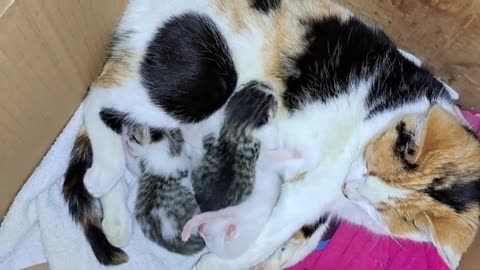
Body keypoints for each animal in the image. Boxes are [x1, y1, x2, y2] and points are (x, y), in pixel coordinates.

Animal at [62, 0, 480, 268]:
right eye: (373, 162)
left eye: (397, 217)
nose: (350, 187)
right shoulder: (316, 184)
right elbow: (276, 227)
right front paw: (220, 263)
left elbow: (310, 229)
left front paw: (285, 255)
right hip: (201, 83)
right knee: (98, 97)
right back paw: (102, 173)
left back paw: (116, 218)